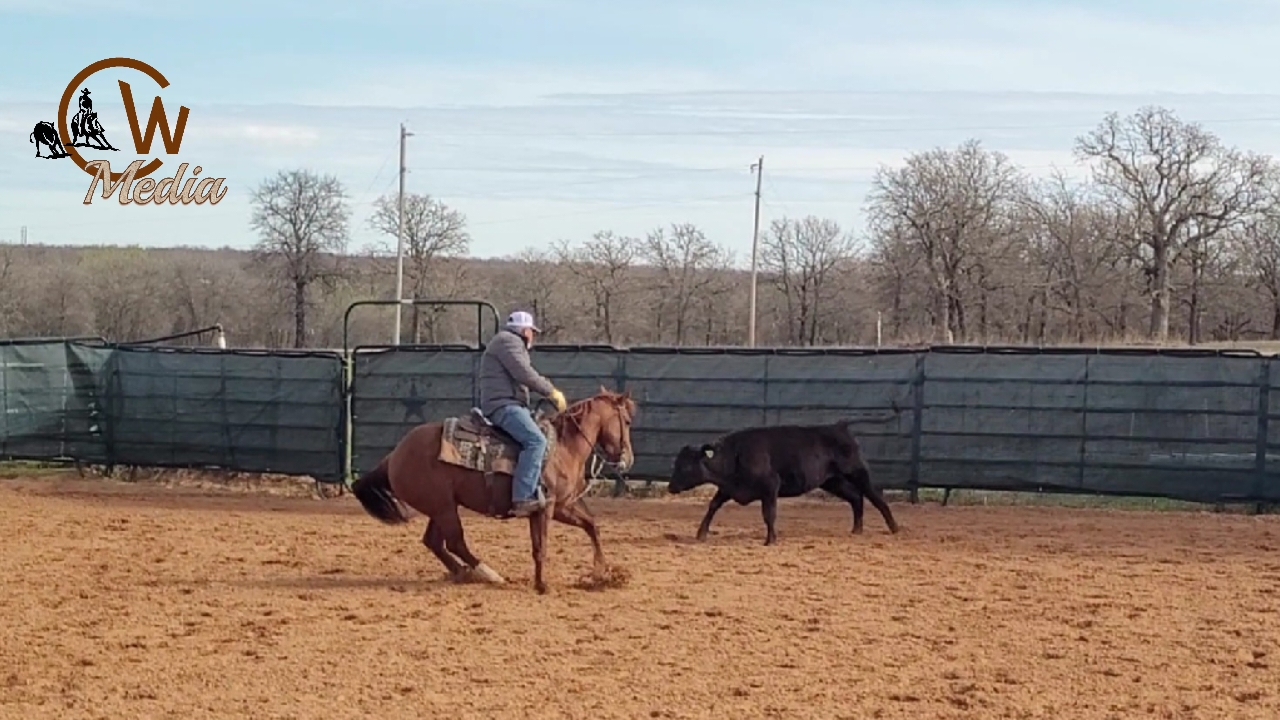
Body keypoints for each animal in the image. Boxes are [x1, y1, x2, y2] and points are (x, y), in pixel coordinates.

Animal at [350, 386, 637, 594]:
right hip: (444, 508)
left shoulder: (561, 507)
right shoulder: (546, 508)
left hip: (440, 506)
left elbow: (591, 525)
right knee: (455, 542)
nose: (628, 459)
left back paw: (463, 573)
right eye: (627, 421)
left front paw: (602, 573)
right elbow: (541, 547)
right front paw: (543, 585)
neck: (563, 447)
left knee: (434, 542)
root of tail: (393, 455)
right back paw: (487, 573)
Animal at [667, 420, 900, 545]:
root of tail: (839, 426)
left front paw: (770, 540)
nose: (671, 487)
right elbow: (713, 506)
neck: (736, 454)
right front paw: (701, 533)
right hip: (832, 481)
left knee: (875, 497)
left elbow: (769, 514)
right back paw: (856, 529)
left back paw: (894, 528)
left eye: (686, 466)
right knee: (855, 498)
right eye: (676, 463)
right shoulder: (728, 488)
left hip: (857, 472)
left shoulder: (770, 486)